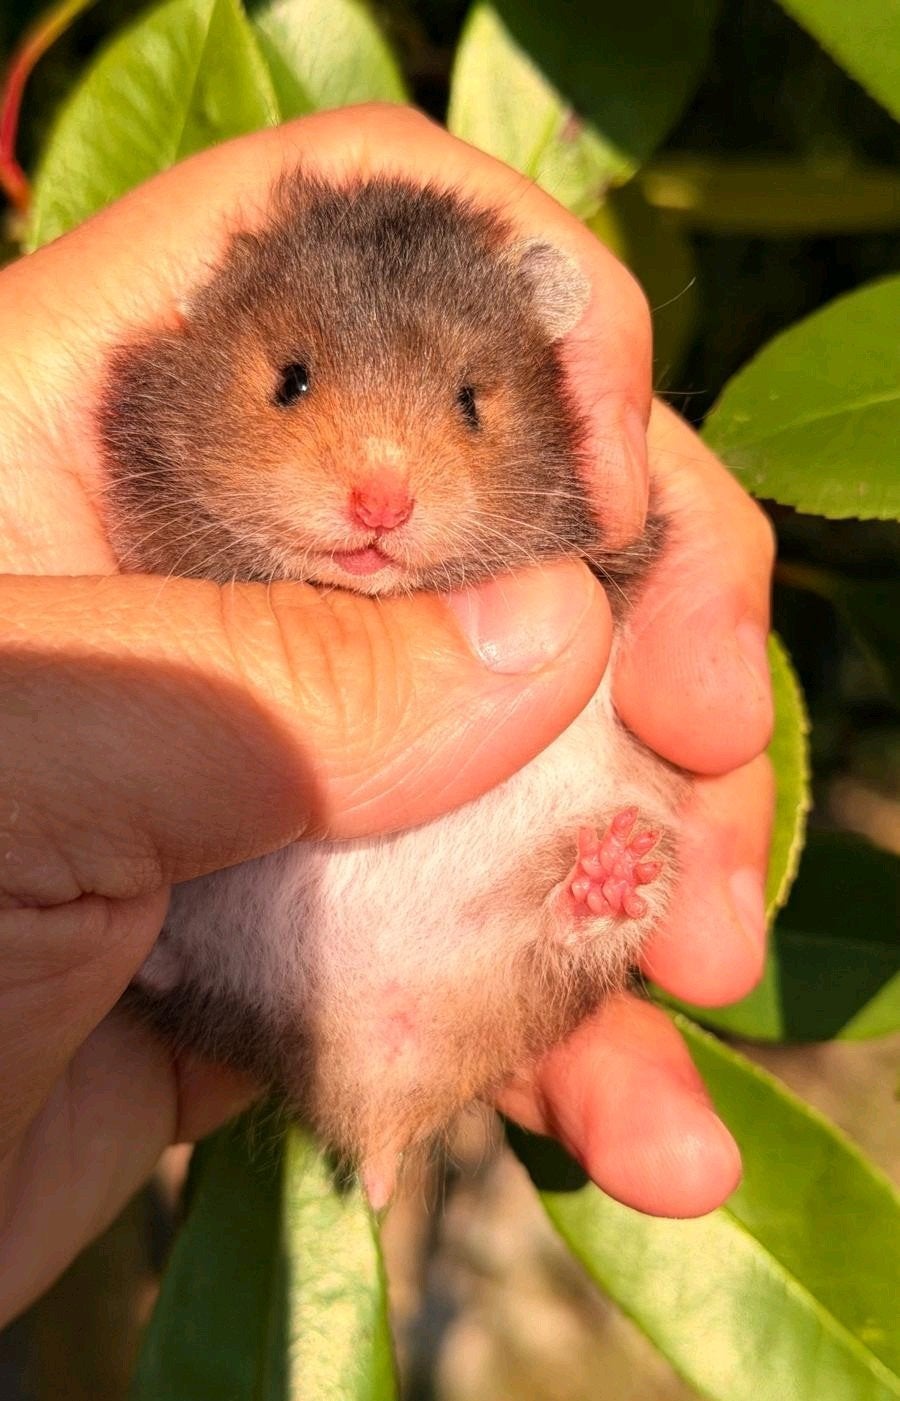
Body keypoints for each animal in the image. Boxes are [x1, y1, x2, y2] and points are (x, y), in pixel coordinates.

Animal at [99, 173, 684, 1206]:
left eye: (470, 400)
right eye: (290, 379)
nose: (382, 503)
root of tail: (378, 1096)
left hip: (533, 961)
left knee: (570, 937)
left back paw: (613, 870)